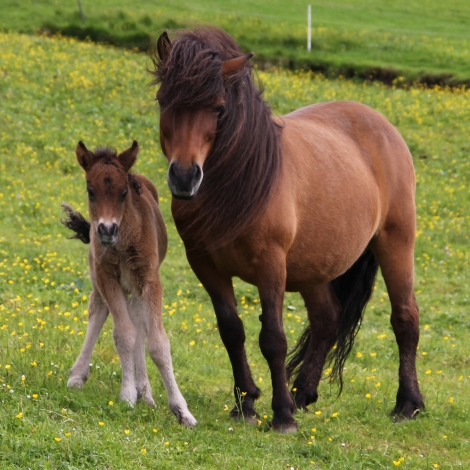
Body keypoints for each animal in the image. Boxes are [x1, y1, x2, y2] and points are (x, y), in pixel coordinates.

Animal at [151, 27, 426, 434]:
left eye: (218, 108)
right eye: (163, 100)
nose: (184, 177)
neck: (239, 185)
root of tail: (381, 124)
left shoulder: (271, 265)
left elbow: (273, 338)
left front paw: (281, 415)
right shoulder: (205, 264)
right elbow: (231, 331)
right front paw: (247, 403)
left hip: (395, 242)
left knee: (405, 318)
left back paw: (407, 404)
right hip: (315, 264)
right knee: (327, 319)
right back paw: (303, 393)